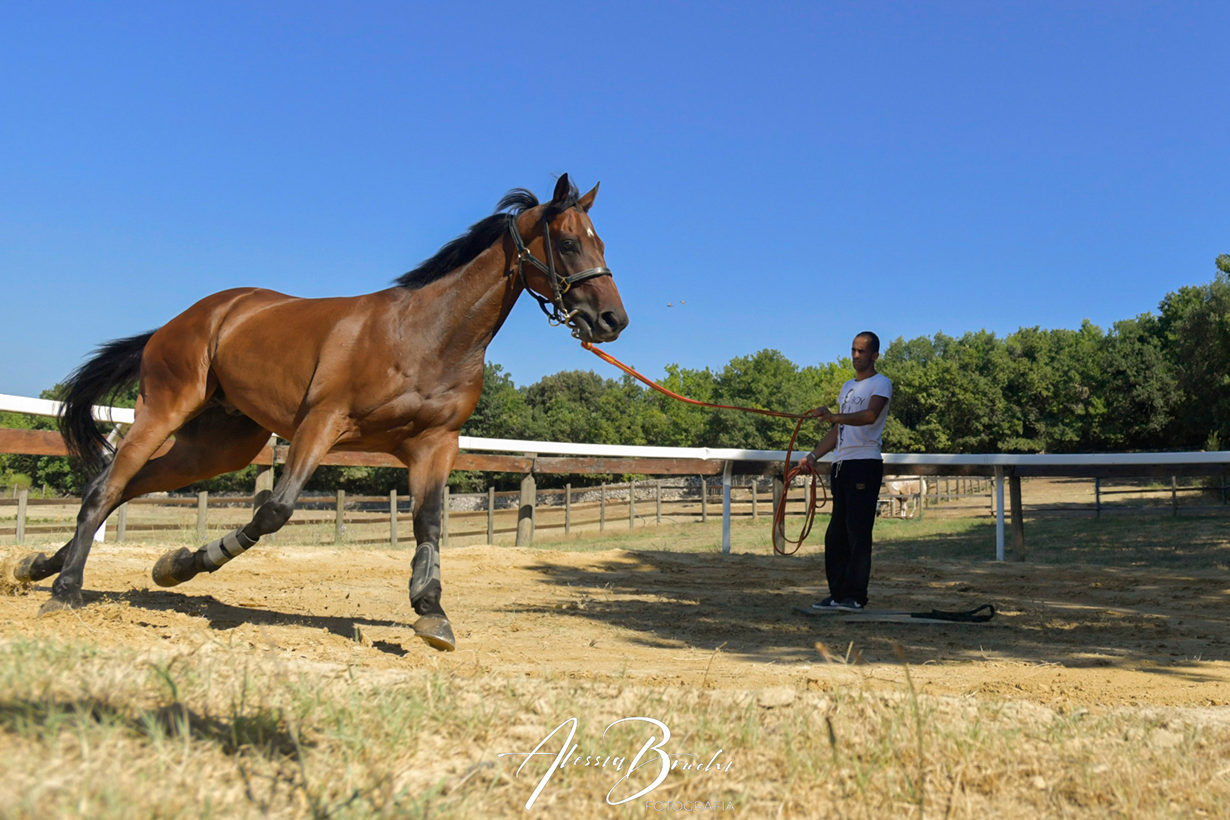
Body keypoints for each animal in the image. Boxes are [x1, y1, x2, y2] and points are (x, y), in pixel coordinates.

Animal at [16, 177, 634, 649]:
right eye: (569, 243)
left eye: (604, 243)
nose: (612, 321)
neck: (424, 336)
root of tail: (186, 320)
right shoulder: (322, 424)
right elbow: (274, 512)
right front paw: (190, 562)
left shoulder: (435, 443)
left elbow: (428, 523)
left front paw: (432, 613)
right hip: (164, 409)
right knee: (106, 486)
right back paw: (64, 592)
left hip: (217, 446)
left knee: (129, 486)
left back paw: (40, 568)